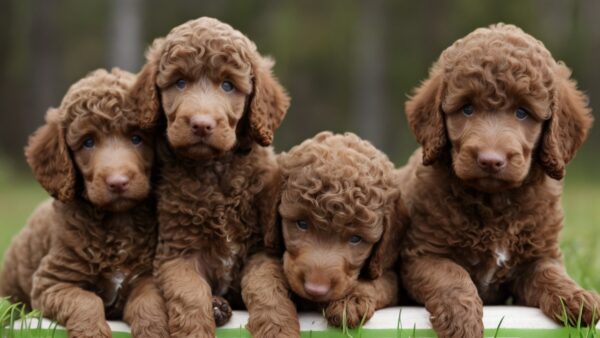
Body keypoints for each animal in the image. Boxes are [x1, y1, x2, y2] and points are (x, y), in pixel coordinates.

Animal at [0, 68, 169, 338]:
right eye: (88, 142)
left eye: (136, 138)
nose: (118, 182)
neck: (117, 224)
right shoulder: (53, 282)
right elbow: (86, 301)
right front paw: (93, 332)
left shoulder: (147, 275)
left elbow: (148, 302)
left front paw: (154, 330)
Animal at [129, 16, 290, 338]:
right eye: (179, 82)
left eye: (228, 85)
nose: (201, 124)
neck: (215, 172)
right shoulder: (177, 252)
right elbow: (190, 296)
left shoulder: (262, 249)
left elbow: (267, 288)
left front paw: (278, 328)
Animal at [241, 133, 406, 338]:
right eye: (302, 224)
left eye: (356, 239)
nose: (316, 290)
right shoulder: (266, 251)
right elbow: (264, 280)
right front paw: (276, 329)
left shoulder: (387, 270)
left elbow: (378, 283)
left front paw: (350, 303)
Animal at [400, 22, 596, 336]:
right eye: (467, 108)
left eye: (522, 112)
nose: (490, 160)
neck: (495, 206)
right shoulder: (423, 255)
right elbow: (451, 275)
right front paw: (462, 321)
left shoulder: (538, 256)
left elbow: (551, 274)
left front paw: (577, 299)